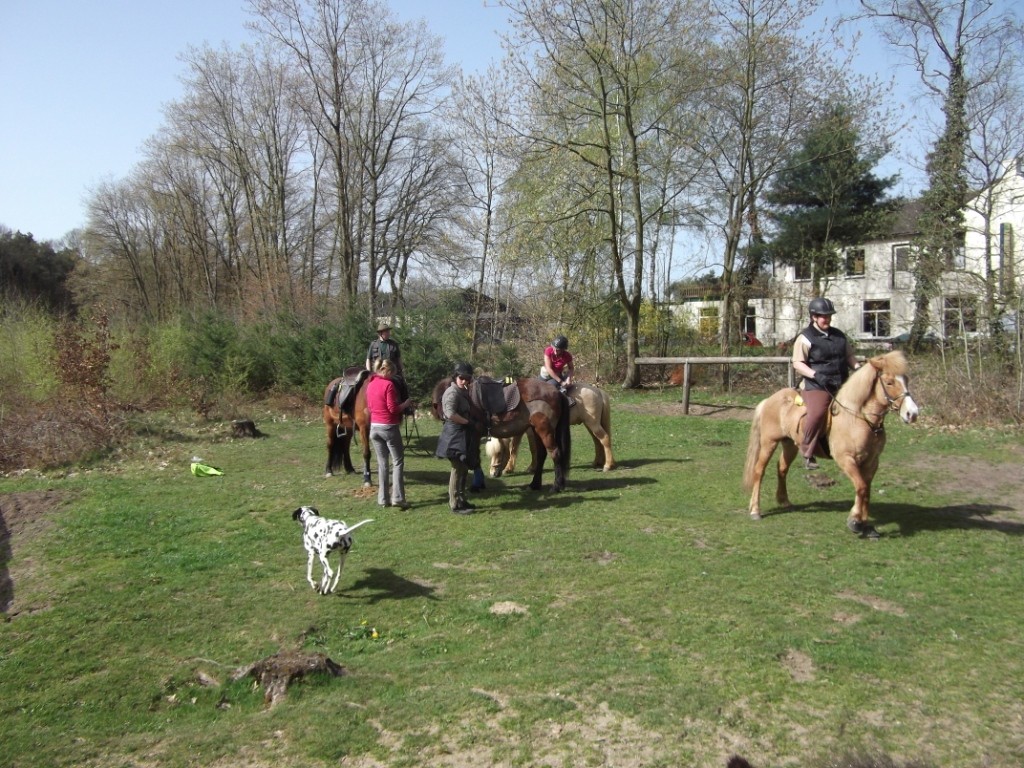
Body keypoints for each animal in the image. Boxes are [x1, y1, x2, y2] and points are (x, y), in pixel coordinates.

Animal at [432, 378, 577, 493]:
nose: (446, 418)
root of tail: (557, 392)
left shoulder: (474, 435)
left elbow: (474, 459)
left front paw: (476, 486)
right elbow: (476, 459)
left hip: (545, 430)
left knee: (555, 453)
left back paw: (556, 486)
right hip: (536, 431)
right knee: (541, 455)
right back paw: (534, 484)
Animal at [741, 352, 917, 536]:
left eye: (906, 379)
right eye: (889, 382)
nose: (912, 414)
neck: (858, 418)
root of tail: (770, 399)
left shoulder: (871, 461)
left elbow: (866, 489)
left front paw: (863, 523)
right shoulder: (846, 459)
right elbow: (861, 486)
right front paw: (855, 521)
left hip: (790, 445)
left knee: (782, 468)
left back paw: (784, 501)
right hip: (769, 442)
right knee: (759, 471)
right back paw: (755, 510)